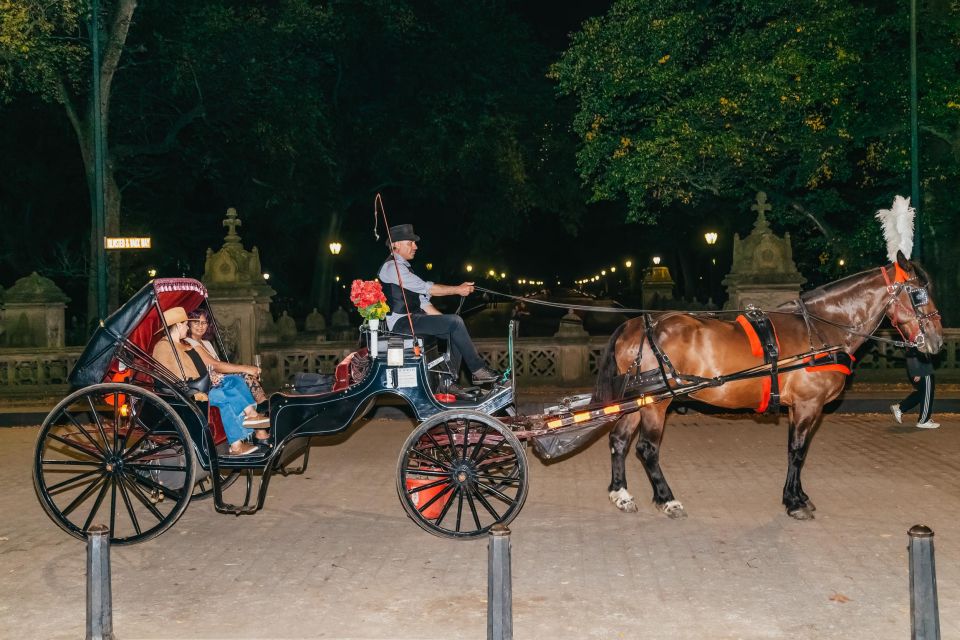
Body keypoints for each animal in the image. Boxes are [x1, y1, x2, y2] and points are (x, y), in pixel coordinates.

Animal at [592, 250, 944, 520]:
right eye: (919, 294)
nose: (937, 341)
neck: (820, 330)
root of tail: (636, 324)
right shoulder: (806, 405)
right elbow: (797, 451)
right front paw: (794, 502)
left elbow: (798, 451)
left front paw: (798, 496)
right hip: (656, 402)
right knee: (646, 448)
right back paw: (667, 499)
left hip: (637, 401)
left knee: (619, 441)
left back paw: (621, 494)